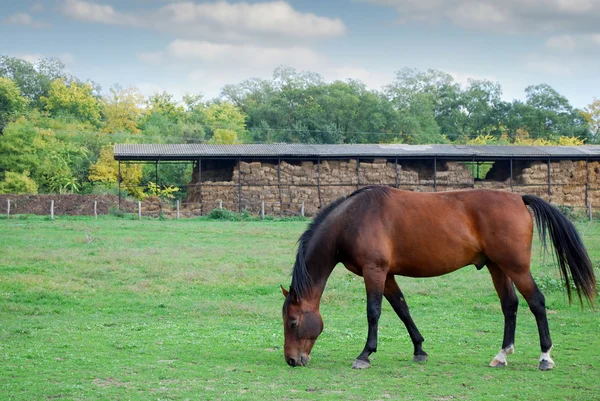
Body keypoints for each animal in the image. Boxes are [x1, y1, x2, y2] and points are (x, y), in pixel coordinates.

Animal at [282, 186, 596, 370]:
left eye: (293, 322)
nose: (292, 360)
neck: (353, 219)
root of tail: (518, 198)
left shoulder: (375, 271)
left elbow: (374, 312)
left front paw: (365, 355)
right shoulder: (388, 274)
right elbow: (402, 309)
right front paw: (419, 349)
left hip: (516, 267)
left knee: (537, 303)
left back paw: (545, 357)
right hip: (497, 267)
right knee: (510, 305)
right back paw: (502, 355)